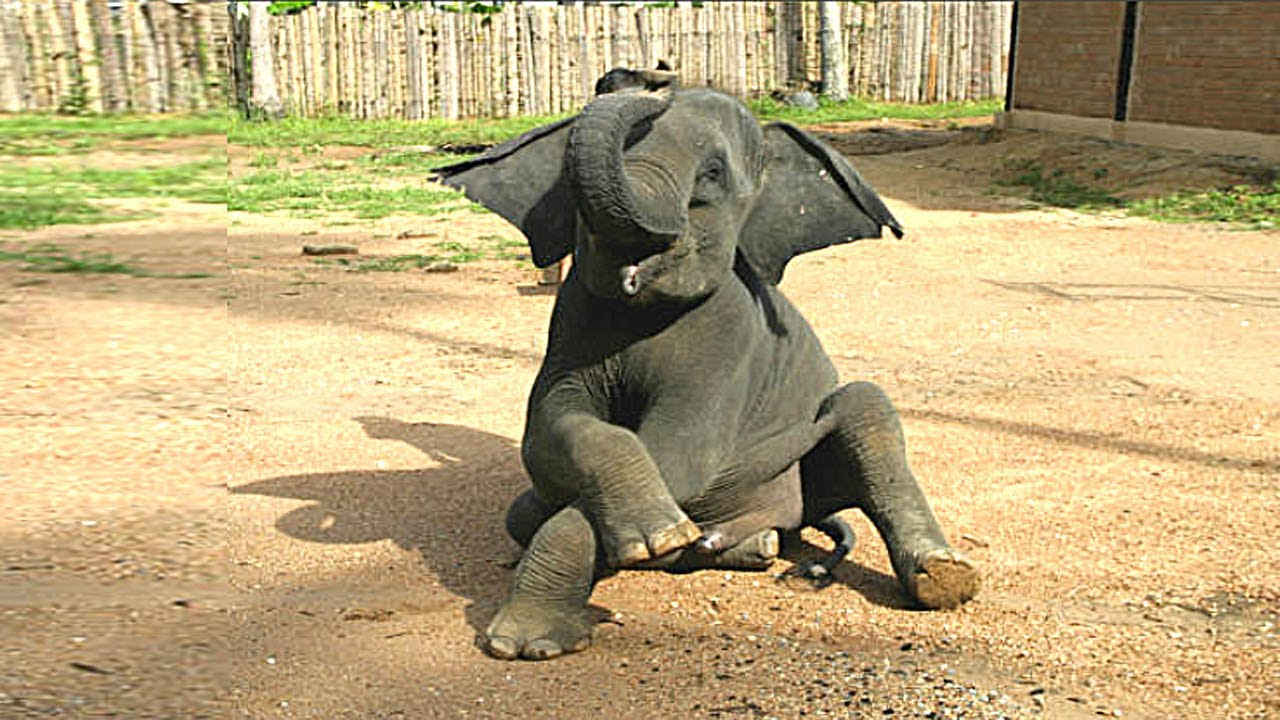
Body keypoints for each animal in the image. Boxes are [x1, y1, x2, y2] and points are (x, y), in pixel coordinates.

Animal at [433, 74, 979, 661]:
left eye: (713, 173)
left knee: (865, 407)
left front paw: (531, 640)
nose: (647, 79)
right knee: (521, 514)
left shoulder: (730, 339)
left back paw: (941, 579)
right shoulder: (570, 323)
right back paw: (744, 546)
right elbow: (545, 435)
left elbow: (680, 458)